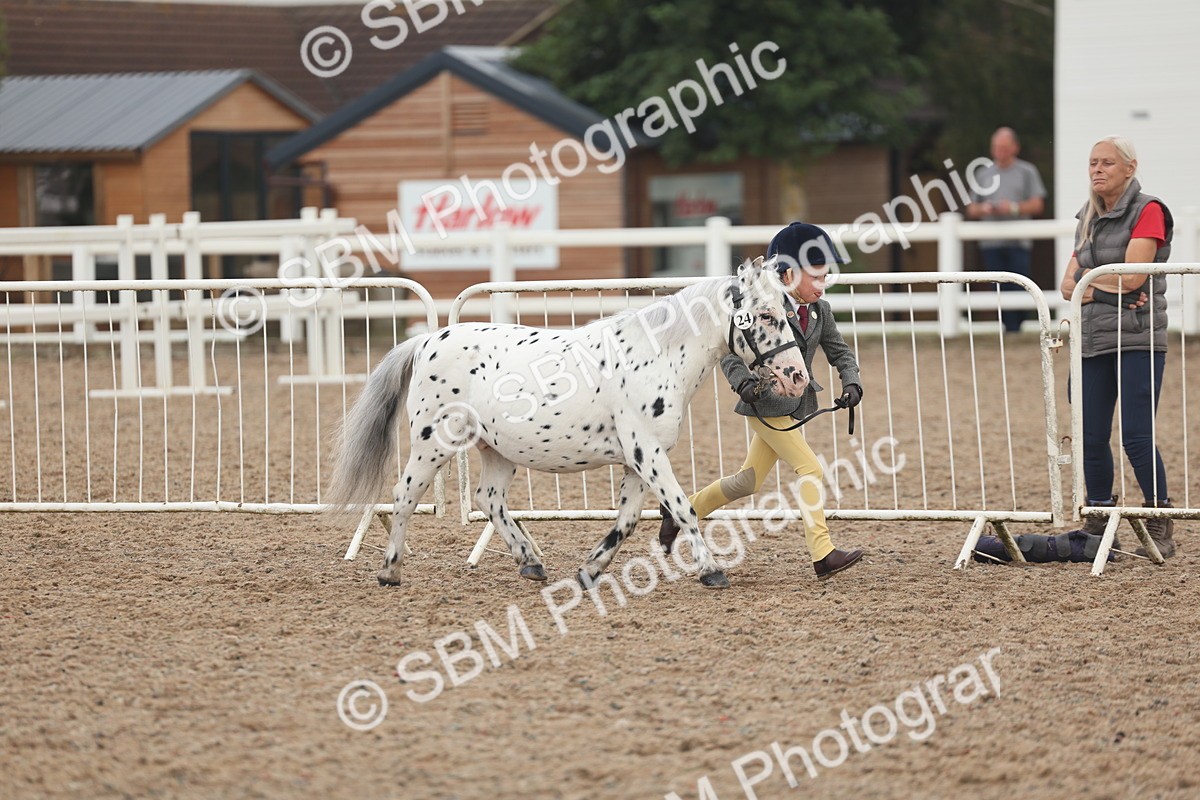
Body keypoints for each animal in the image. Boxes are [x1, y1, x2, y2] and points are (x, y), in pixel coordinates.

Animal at [327, 256, 810, 589]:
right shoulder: (647, 453)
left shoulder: (637, 461)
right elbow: (683, 507)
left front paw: (589, 570)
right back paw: (390, 571)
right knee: (403, 495)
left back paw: (530, 562)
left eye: (788, 311)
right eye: (766, 315)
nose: (797, 377)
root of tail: (427, 340)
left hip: (496, 451)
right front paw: (712, 571)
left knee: (488, 500)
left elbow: (628, 520)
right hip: (433, 444)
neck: (656, 356)